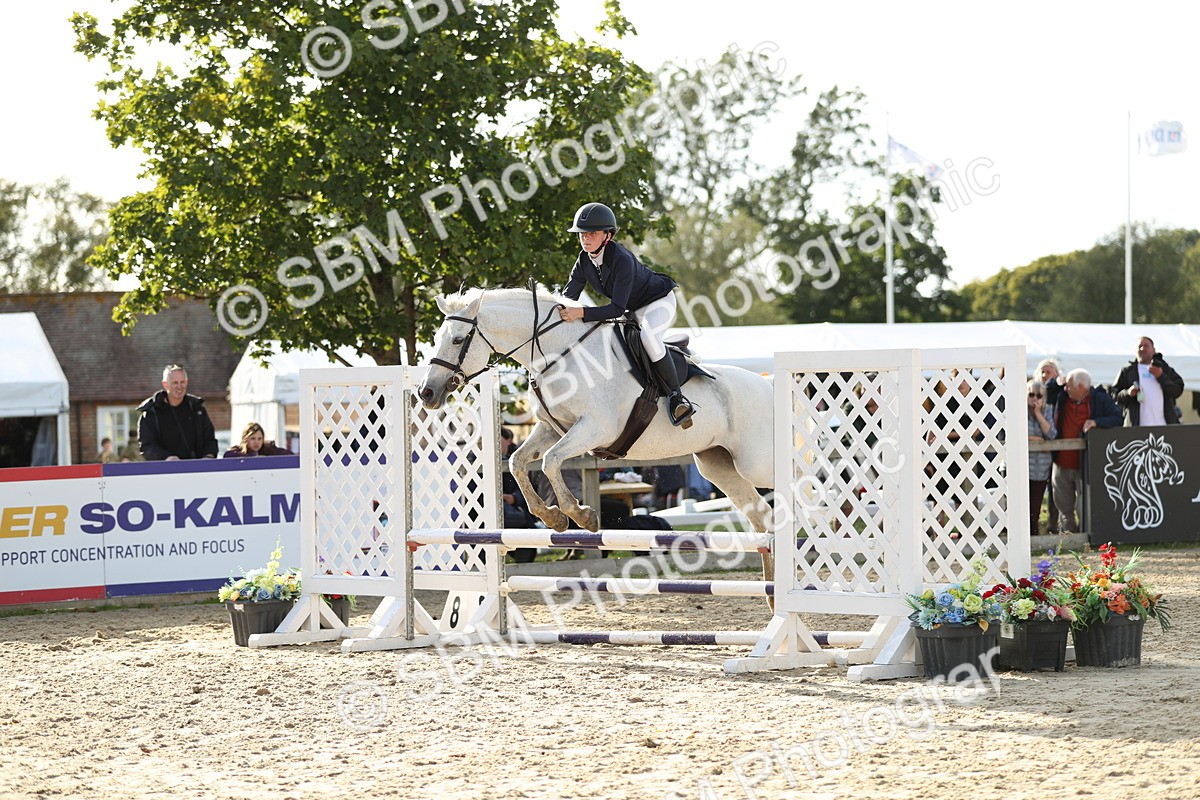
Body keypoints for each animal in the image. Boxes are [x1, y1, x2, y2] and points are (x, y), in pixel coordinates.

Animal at [416, 287, 775, 577]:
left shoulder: (594, 429)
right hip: (716, 465)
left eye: (458, 340)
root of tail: (768, 384)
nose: (426, 393)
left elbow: (549, 461)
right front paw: (553, 518)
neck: (559, 355)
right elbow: (519, 462)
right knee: (763, 517)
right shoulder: (551, 428)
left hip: (755, 464)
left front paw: (581, 516)